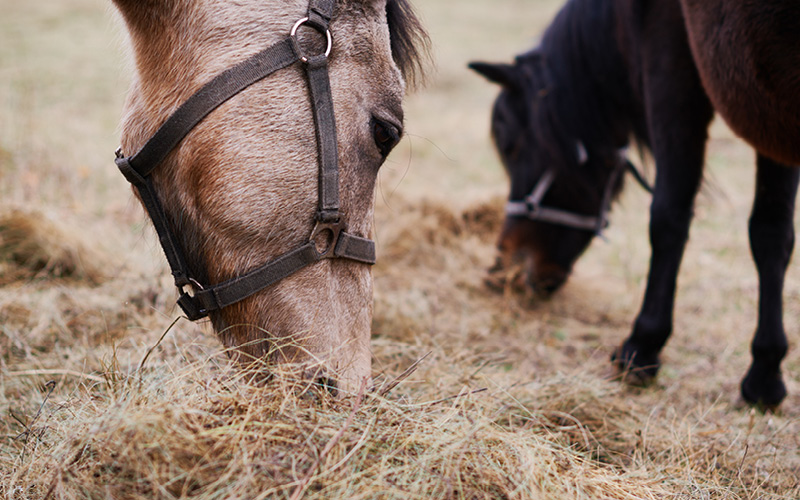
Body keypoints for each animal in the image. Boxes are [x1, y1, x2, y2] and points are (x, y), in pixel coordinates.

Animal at [472, 0, 800, 408]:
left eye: (509, 143)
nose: (504, 269)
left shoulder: (672, 69)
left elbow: (669, 217)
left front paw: (642, 346)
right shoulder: (766, 114)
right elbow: (772, 232)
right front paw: (765, 372)